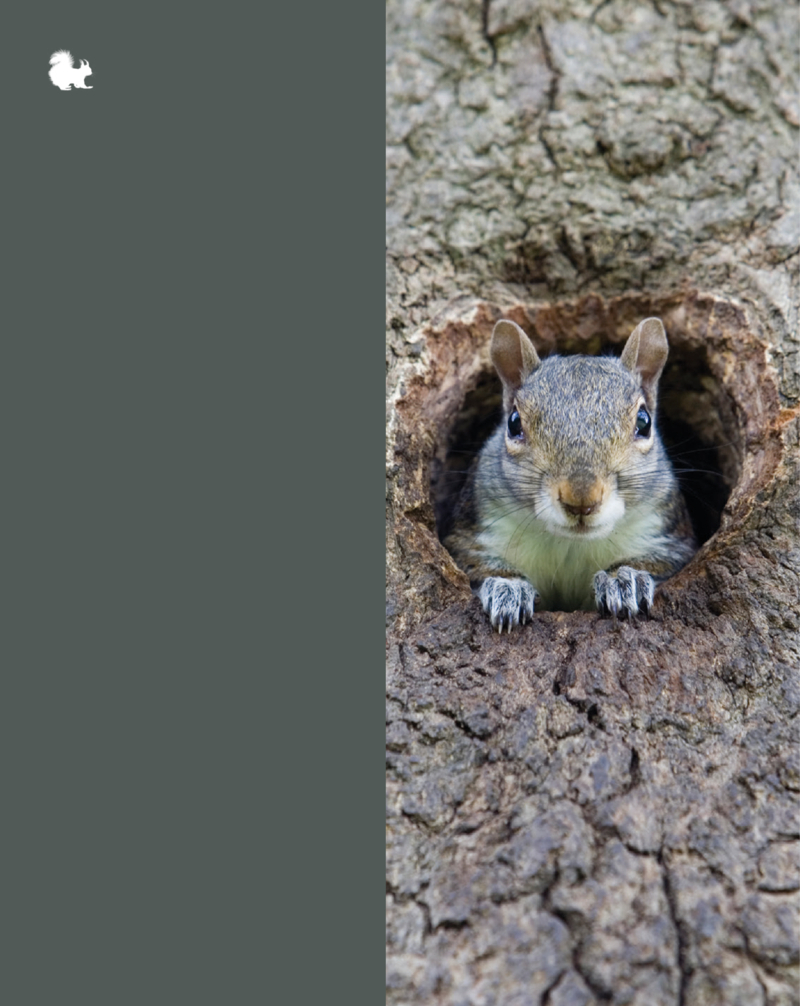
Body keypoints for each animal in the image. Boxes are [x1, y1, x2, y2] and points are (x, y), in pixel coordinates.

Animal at [444, 317, 697, 632]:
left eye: (644, 422)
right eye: (513, 423)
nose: (581, 500)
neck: (571, 545)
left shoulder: (668, 534)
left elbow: (660, 561)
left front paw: (623, 580)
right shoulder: (473, 534)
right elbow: (476, 565)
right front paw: (508, 588)